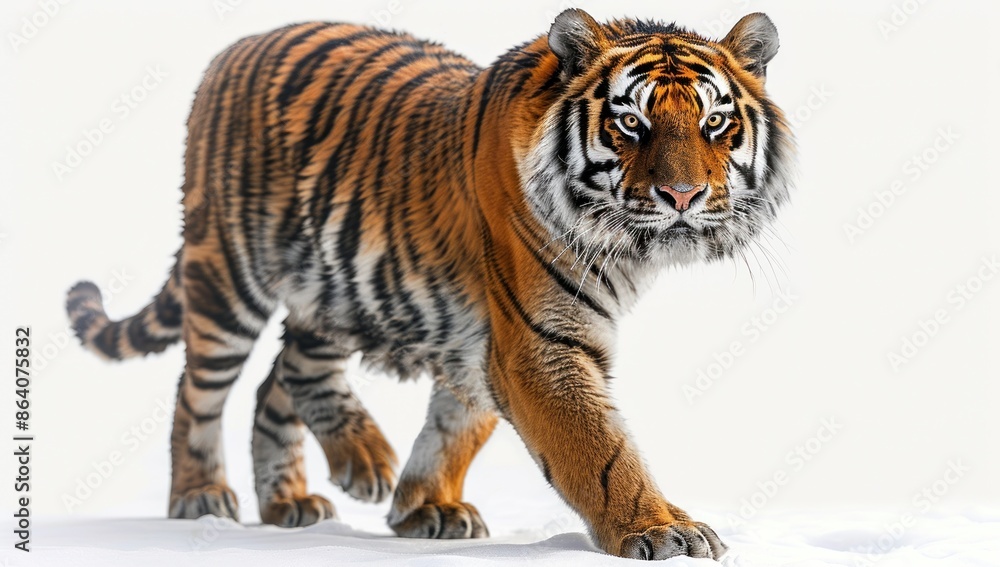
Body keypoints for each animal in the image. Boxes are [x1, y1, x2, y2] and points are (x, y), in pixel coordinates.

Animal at [65, 9, 794, 560]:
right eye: (630, 122)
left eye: (715, 123)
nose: (682, 196)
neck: (628, 250)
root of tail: (230, 49)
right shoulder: (538, 340)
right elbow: (600, 449)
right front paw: (660, 528)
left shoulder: (486, 337)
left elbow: (458, 422)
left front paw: (423, 505)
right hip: (227, 275)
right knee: (198, 390)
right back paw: (202, 495)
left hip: (335, 285)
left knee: (285, 373)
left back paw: (301, 493)